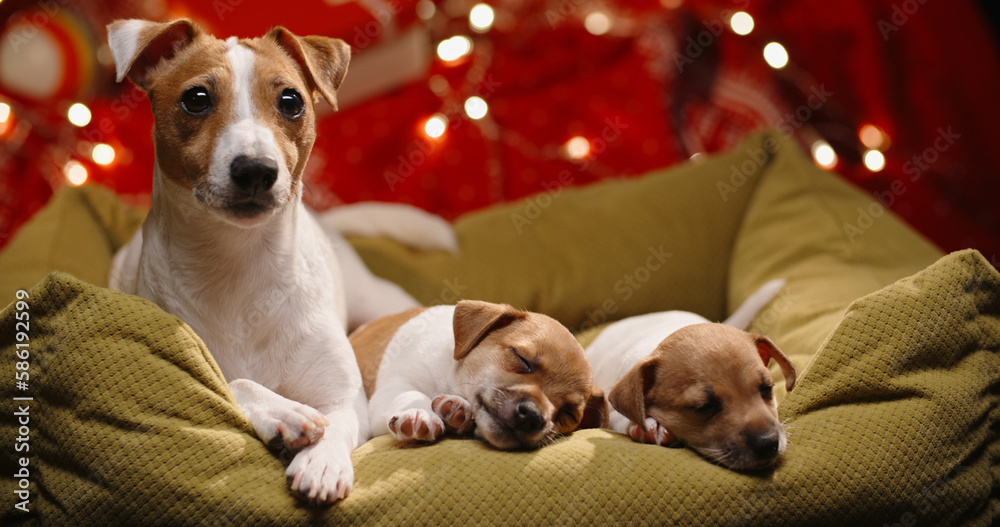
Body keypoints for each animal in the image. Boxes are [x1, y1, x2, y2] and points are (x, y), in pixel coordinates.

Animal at [104, 19, 438, 508]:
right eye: (196, 98)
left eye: (291, 101)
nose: (255, 170)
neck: (241, 264)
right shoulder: (189, 370)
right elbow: (236, 383)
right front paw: (285, 414)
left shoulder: (343, 397)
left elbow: (337, 422)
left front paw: (322, 463)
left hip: (383, 304)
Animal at [352, 302, 608, 450]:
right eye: (522, 359)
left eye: (569, 414)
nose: (532, 416)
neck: (451, 373)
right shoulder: (392, 388)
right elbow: (410, 395)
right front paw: (418, 413)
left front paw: (454, 408)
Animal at [584, 280, 796, 470]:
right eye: (705, 406)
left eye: (767, 388)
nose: (768, 443)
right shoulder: (610, 411)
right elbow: (622, 418)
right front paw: (649, 426)